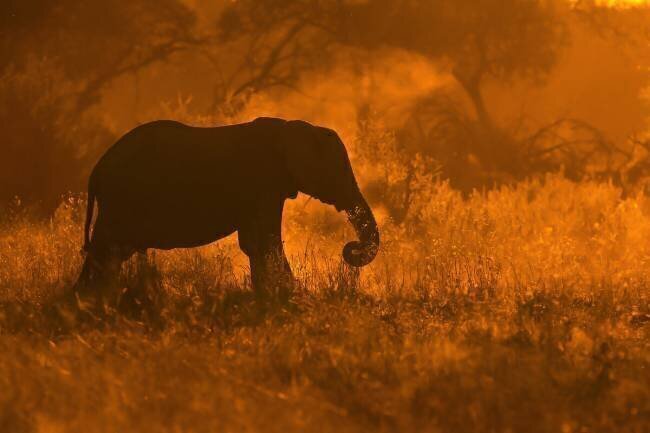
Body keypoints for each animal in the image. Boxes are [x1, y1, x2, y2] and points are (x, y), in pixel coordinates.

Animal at [73, 117, 379, 300]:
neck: (291, 128)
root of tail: (96, 171)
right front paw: (292, 295)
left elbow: (255, 243)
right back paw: (87, 300)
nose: (350, 249)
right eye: (339, 171)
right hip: (121, 200)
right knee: (106, 251)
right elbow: (265, 241)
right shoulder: (264, 183)